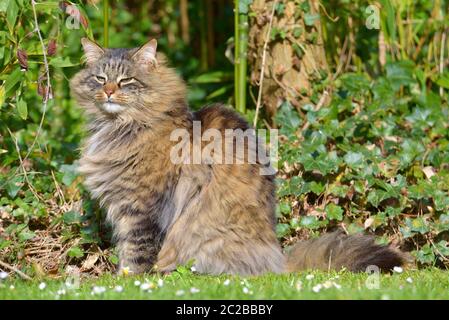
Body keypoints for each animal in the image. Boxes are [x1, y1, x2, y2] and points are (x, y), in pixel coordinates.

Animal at [71, 38, 406, 276]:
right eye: (100, 78)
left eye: (126, 81)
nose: (109, 92)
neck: (120, 127)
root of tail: (278, 261)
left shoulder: (143, 209)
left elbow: (135, 256)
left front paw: (127, 283)